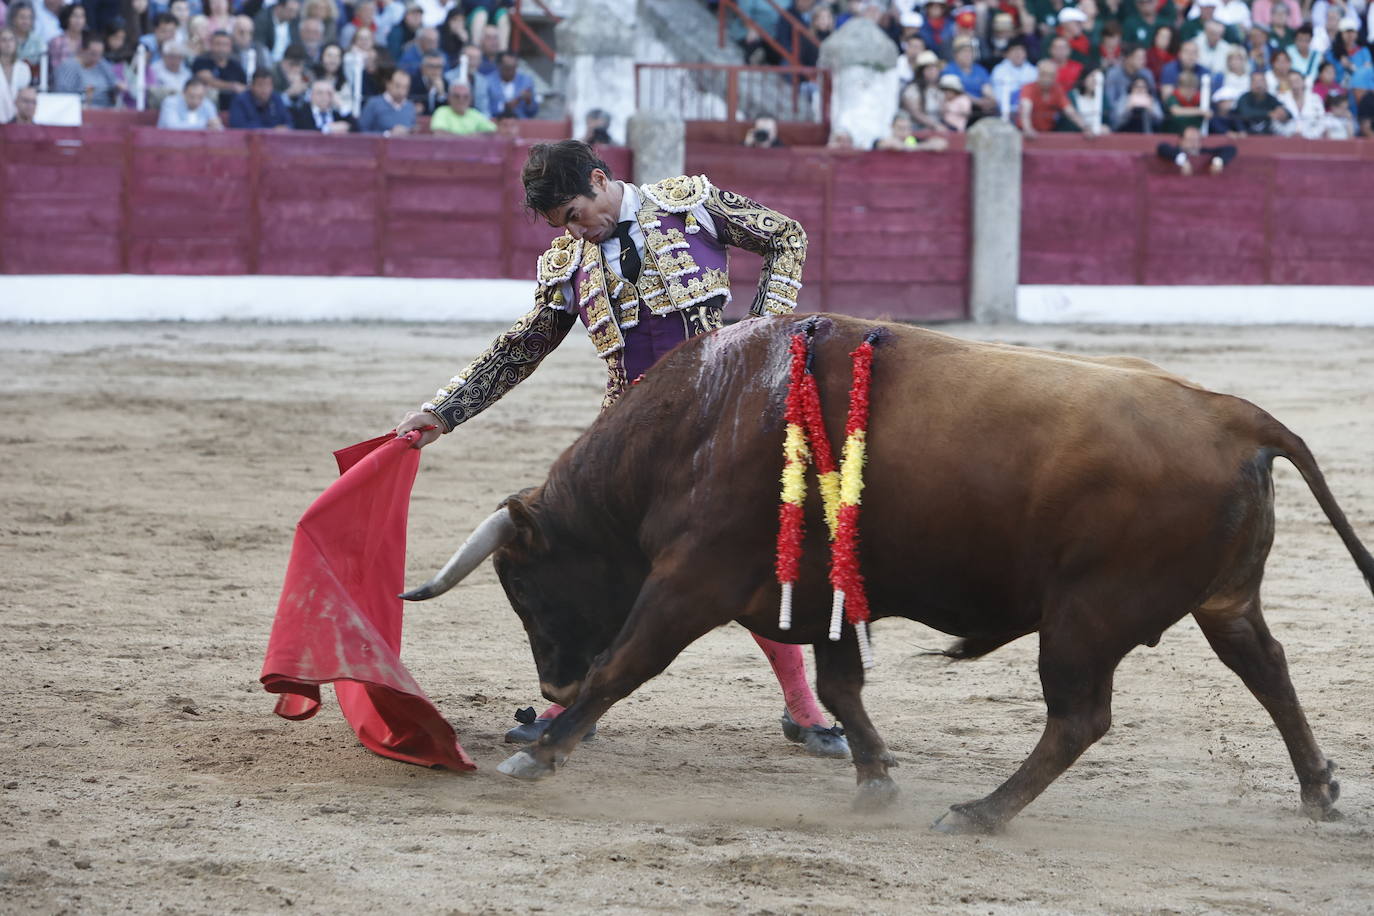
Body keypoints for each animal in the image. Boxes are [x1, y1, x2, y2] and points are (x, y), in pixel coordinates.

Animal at [401, 313, 1374, 829]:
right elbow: (840, 683)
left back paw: (981, 812)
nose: (549, 691)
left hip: (1085, 616)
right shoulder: (819, 592)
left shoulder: (690, 581)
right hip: (1224, 599)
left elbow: (627, 663)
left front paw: (542, 753)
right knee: (1268, 670)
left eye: (524, 588)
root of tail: (1237, 417)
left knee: (1080, 717)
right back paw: (1320, 791)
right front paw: (874, 775)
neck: (703, 420)